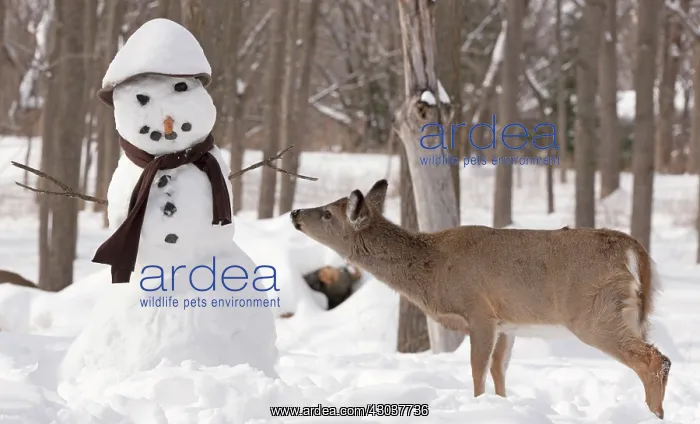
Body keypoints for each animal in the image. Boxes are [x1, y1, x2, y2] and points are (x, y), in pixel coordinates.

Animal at [289, 179, 672, 419]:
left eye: (328, 213)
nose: (294, 213)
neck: (433, 269)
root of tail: (634, 250)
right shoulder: (507, 322)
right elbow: (499, 369)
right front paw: (503, 406)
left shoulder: (479, 310)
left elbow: (477, 369)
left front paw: (478, 407)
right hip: (632, 314)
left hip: (594, 312)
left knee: (655, 360)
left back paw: (654, 414)